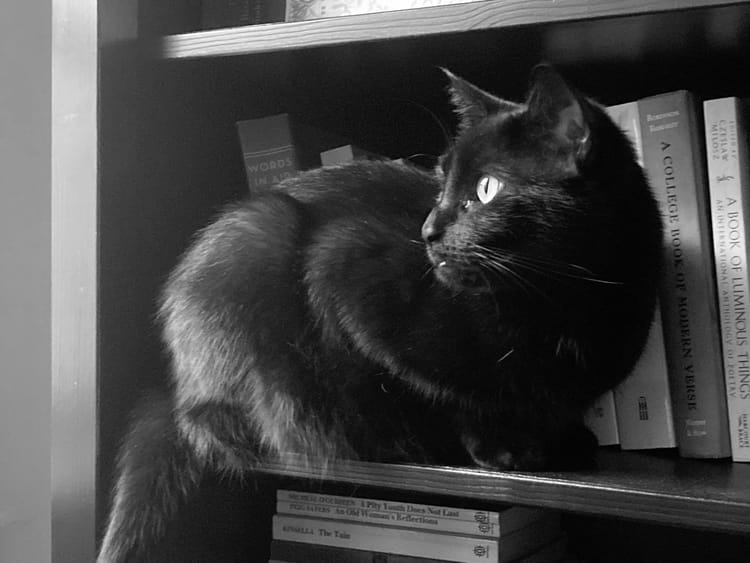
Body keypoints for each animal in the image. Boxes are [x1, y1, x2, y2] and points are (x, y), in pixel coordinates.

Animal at [98, 65, 664, 560]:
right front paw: (496, 444)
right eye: (440, 182)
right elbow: (428, 390)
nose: (427, 230)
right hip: (256, 236)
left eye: (487, 189)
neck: (558, 304)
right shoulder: (343, 276)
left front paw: (565, 437)